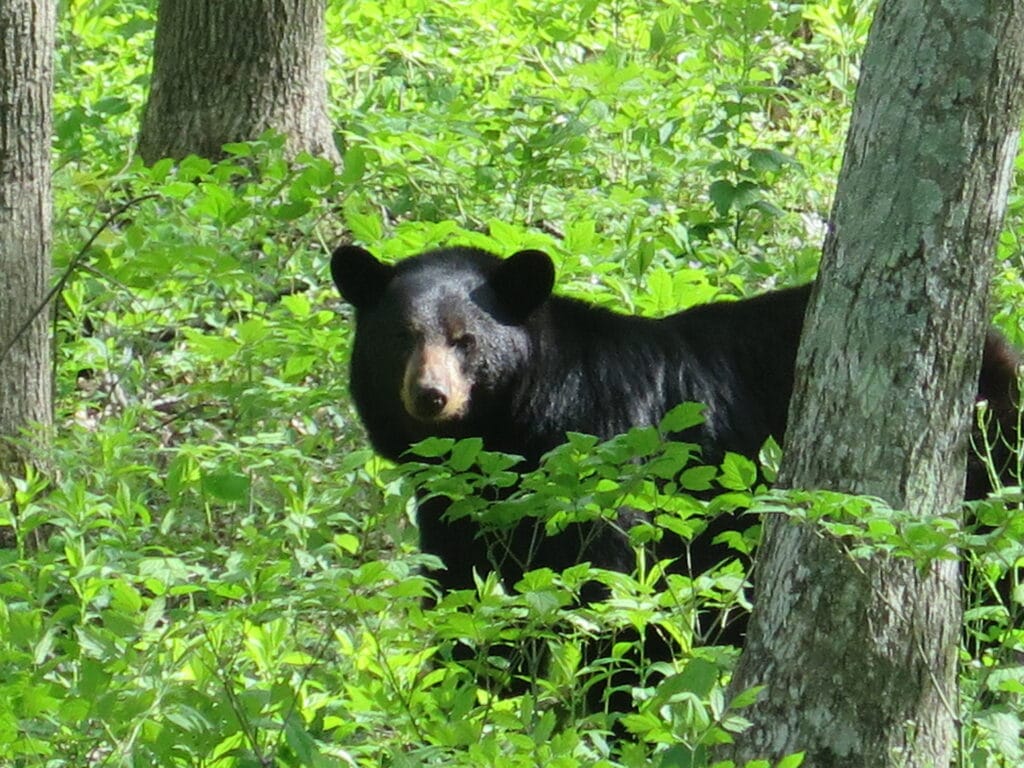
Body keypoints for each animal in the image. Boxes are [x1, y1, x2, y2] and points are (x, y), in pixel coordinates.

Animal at [331, 243, 1019, 651]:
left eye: (465, 338)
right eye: (400, 336)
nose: (430, 396)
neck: (521, 428)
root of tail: (996, 343)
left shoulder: (600, 461)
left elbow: (607, 589)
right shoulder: (454, 511)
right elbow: (468, 596)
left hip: (989, 458)